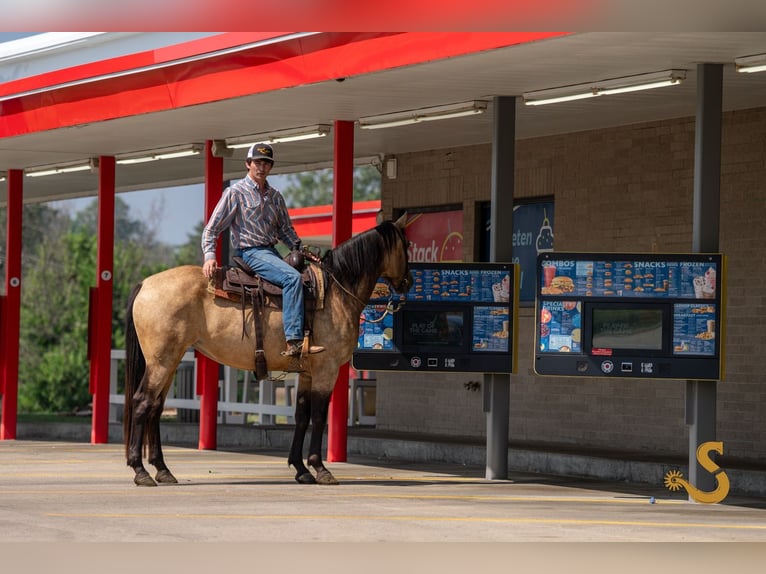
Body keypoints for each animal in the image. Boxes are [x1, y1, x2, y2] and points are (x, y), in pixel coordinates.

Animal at [123, 215, 412, 486]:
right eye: (407, 245)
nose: (408, 282)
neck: (336, 292)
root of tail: (145, 284)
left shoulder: (307, 372)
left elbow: (301, 415)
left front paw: (301, 469)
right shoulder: (326, 370)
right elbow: (319, 416)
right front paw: (321, 468)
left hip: (170, 361)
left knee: (156, 408)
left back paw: (162, 470)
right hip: (161, 362)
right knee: (142, 402)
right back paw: (140, 470)